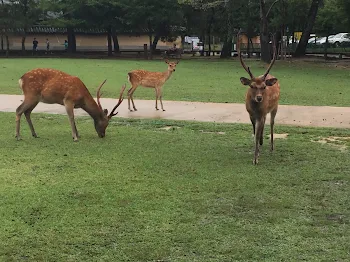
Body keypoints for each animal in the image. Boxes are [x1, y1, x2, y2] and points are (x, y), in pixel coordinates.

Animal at [237, 32, 280, 164]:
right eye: (252, 86)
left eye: (264, 86)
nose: (259, 98)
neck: (256, 109)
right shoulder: (251, 114)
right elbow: (255, 132)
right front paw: (258, 151)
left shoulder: (261, 113)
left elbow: (256, 133)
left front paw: (255, 159)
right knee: (264, 124)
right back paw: (262, 143)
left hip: (275, 107)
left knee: (271, 123)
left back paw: (271, 147)